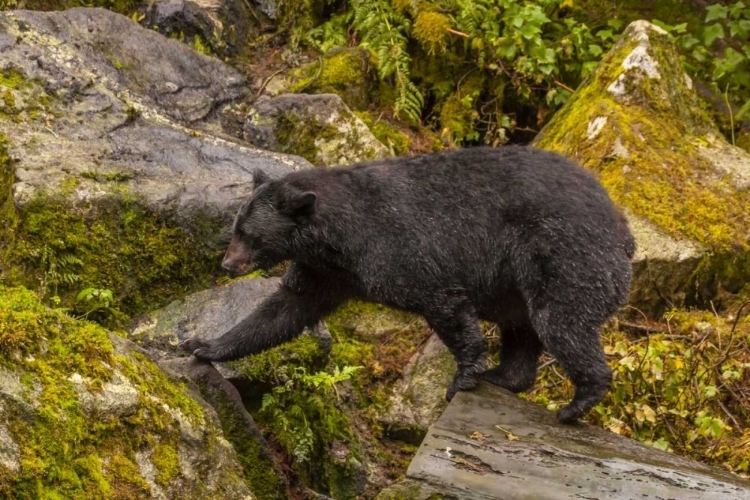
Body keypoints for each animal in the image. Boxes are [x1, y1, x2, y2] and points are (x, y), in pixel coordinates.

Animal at [181, 145, 636, 422]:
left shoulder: (403, 249)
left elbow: (444, 304)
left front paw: (463, 375)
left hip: (565, 257)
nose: (228, 264)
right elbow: (285, 310)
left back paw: (577, 402)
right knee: (523, 328)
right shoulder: (326, 274)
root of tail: (623, 226)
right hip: (520, 284)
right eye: (235, 228)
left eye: (250, 236)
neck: (340, 239)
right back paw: (506, 377)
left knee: (560, 322)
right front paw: (203, 344)